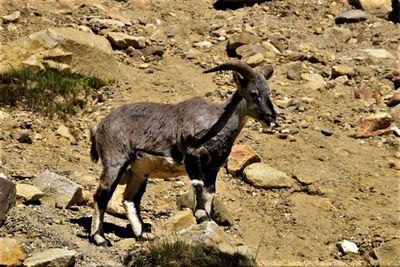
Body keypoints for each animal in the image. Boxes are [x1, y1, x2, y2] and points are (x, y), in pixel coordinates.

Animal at [89, 60, 276, 247]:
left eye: (268, 91)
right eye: (253, 93)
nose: (272, 117)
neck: (215, 122)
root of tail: (99, 127)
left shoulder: (213, 167)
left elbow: (210, 192)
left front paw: (208, 220)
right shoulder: (192, 156)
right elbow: (197, 184)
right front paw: (201, 215)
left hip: (140, 172)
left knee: (130, 200)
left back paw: (143, 234)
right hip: (116, 162)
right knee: (101, 195)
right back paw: (100, 238)